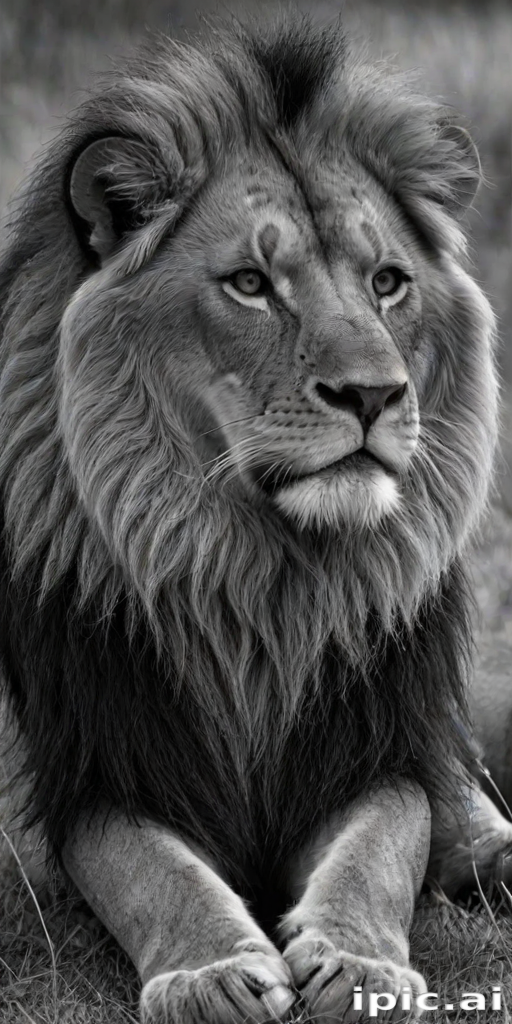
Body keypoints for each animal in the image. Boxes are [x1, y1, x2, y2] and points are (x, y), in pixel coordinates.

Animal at [1, 12, 512, 1024]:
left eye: (387, 282)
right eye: (249, 284)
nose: (374, 394)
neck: (263, 586)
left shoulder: (381, 744)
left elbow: (384, 845)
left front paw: (359, 962)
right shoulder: (94, 767)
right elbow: (146, 869)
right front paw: (210, 973)